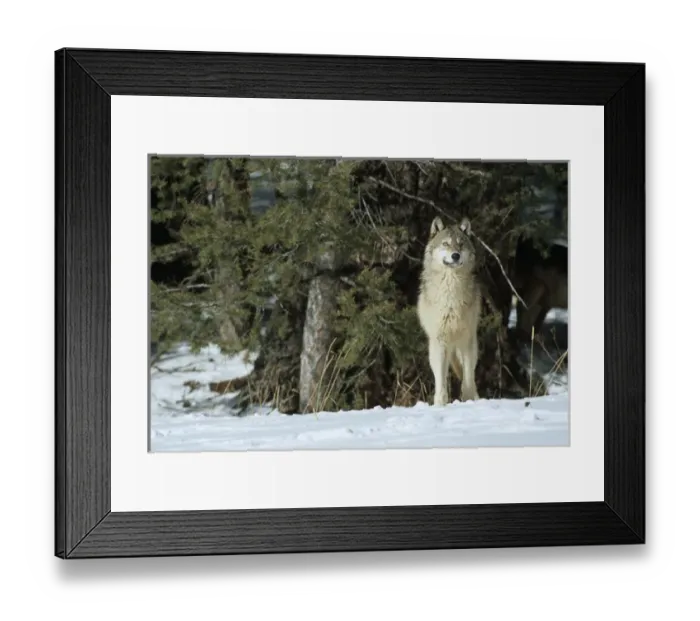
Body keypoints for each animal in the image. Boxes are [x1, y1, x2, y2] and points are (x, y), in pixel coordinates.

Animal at [417, 216, 481, 406]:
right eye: (445, 244)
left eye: (460, 244)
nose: (455, 255)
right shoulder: (439, 341)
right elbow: (441, 379)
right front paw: (440, 403)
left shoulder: (467, 340)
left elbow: (468, 376)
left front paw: (468, 399)